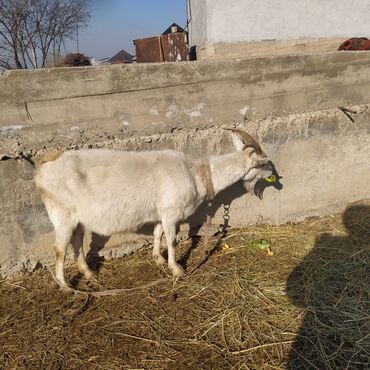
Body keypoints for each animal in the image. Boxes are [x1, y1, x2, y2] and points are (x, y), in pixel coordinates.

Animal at [36, 129, 274, 288]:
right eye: (263, 163)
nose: (276, 177)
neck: (196, 173)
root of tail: (42, 170)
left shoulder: (162, 212)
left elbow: (158, 233)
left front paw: (158, 258)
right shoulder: (171, 212)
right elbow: (172, 239)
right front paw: (176, 269)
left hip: (78, 218)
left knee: (76, 242)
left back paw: (88, 273)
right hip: (62, 214)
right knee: (59, 248)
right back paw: (65, 285)